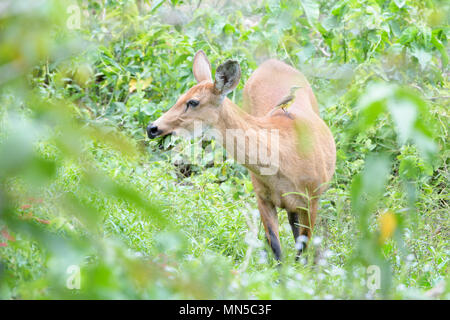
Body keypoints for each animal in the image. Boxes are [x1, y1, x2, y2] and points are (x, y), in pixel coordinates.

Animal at [146, 49, 336, 260]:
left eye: (193, 102)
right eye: (179, 98)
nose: (152, 128)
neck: (283, 160)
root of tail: (271, 62)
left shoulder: (312, 199)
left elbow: (301, 251)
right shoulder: (262, 196)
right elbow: (276, 247)